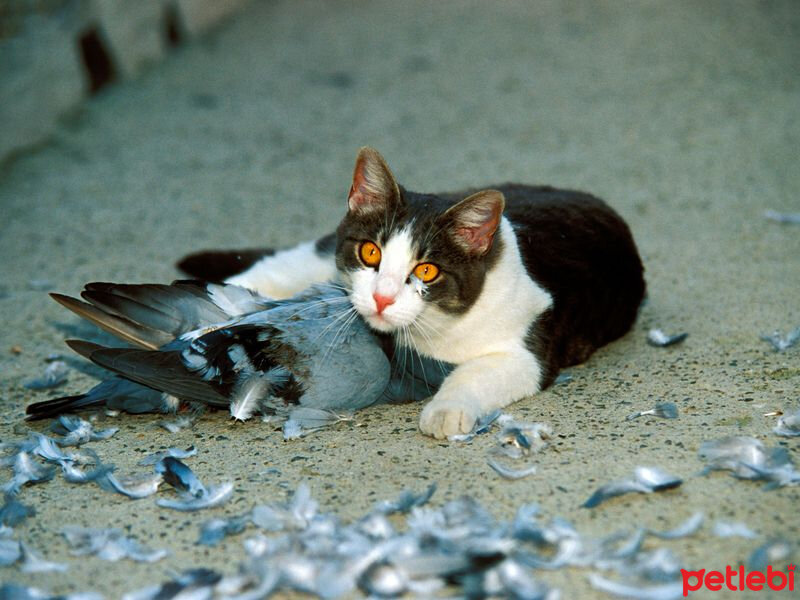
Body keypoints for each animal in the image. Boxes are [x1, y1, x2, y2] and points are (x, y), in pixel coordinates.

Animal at [178, 149, 648, 440]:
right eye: (371, 252)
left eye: (426, 270)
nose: (382, 298)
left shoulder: (531, 343)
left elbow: (481, 371)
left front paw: (446, 411)